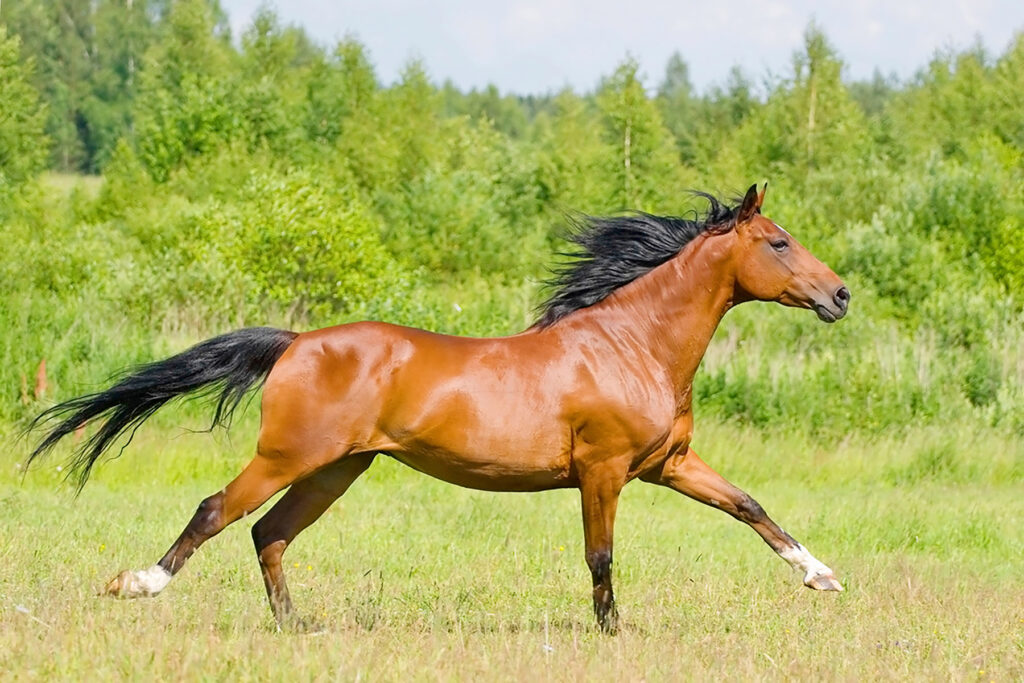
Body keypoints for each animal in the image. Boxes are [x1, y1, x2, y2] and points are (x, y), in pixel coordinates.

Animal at [28, 183, 850, 633]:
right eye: (779, 242)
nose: (840, 295)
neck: (631, 343)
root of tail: (295, 342)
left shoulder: (668, 463)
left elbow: (748, 505)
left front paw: (823, 576)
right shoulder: (604, 470)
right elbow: (601, 554)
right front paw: (611, 633)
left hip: (337, 469)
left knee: (268, 533)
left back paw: (296, 627)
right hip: (288, 456)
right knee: (216, 512)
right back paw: (137, 584)